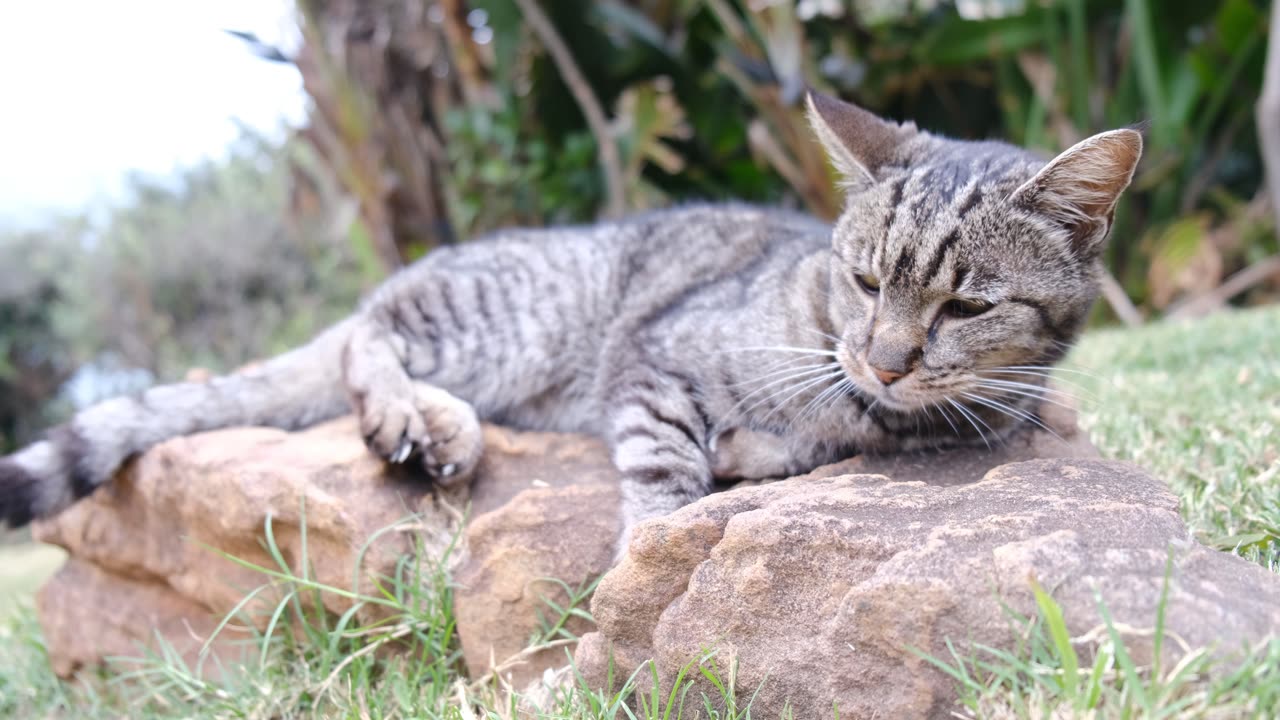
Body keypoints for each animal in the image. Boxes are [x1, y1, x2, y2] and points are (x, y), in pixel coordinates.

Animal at [0, 90, 1141, 548]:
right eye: (863, 282)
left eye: (965, 305)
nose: (884, 358)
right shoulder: (652, 356)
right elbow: (661, 465)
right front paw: (662, 535)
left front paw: (767, 450)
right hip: (501, 318)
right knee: (368, 338)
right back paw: (421, 420)